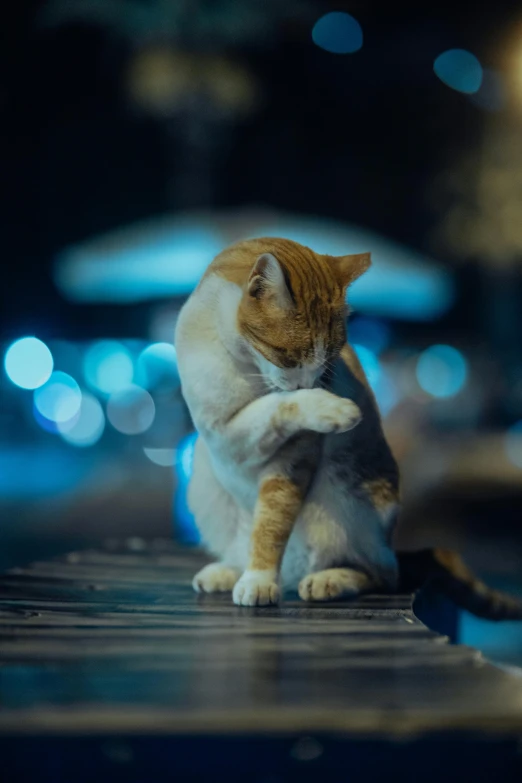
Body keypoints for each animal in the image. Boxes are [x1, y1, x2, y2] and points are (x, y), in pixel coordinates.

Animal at [175, 234, 520, 620]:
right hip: (203, 481)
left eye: (327, 364)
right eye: (289, 357)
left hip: (347, 492)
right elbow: (271, 409)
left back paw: (328, 579)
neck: (239, 363)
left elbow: (272, 520)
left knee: (383, 574)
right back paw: (228, 570)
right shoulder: (220, 435)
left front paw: (260, 579)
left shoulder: (293, 457)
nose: (309, 384)